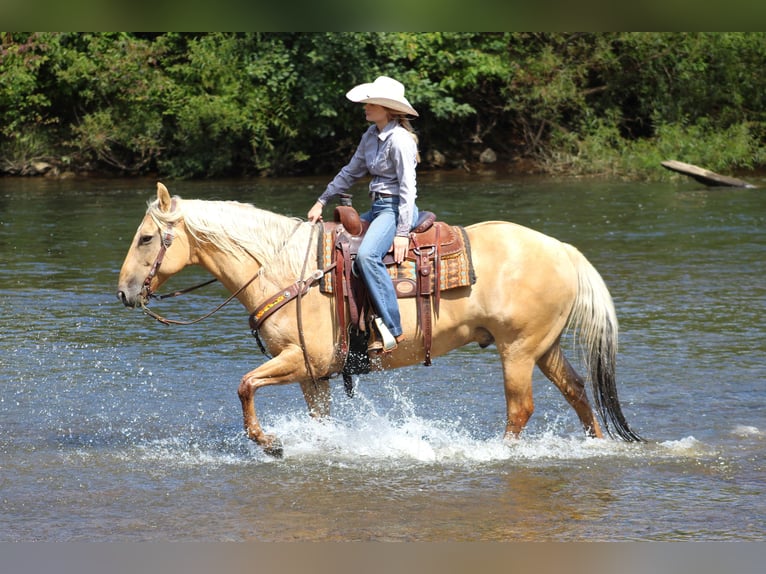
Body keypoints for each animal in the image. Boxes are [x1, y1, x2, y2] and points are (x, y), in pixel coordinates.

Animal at [115, 182, 640, 456]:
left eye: (146, 238)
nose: (123, 292)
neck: (286, 269)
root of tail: (564, 250)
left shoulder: (303, 359)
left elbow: (244, 385)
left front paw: (269, 443)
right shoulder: (314, 375)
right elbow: (318, 419)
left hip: (518, 350)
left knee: (521, 409)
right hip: (543, 348)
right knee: (577, 392)